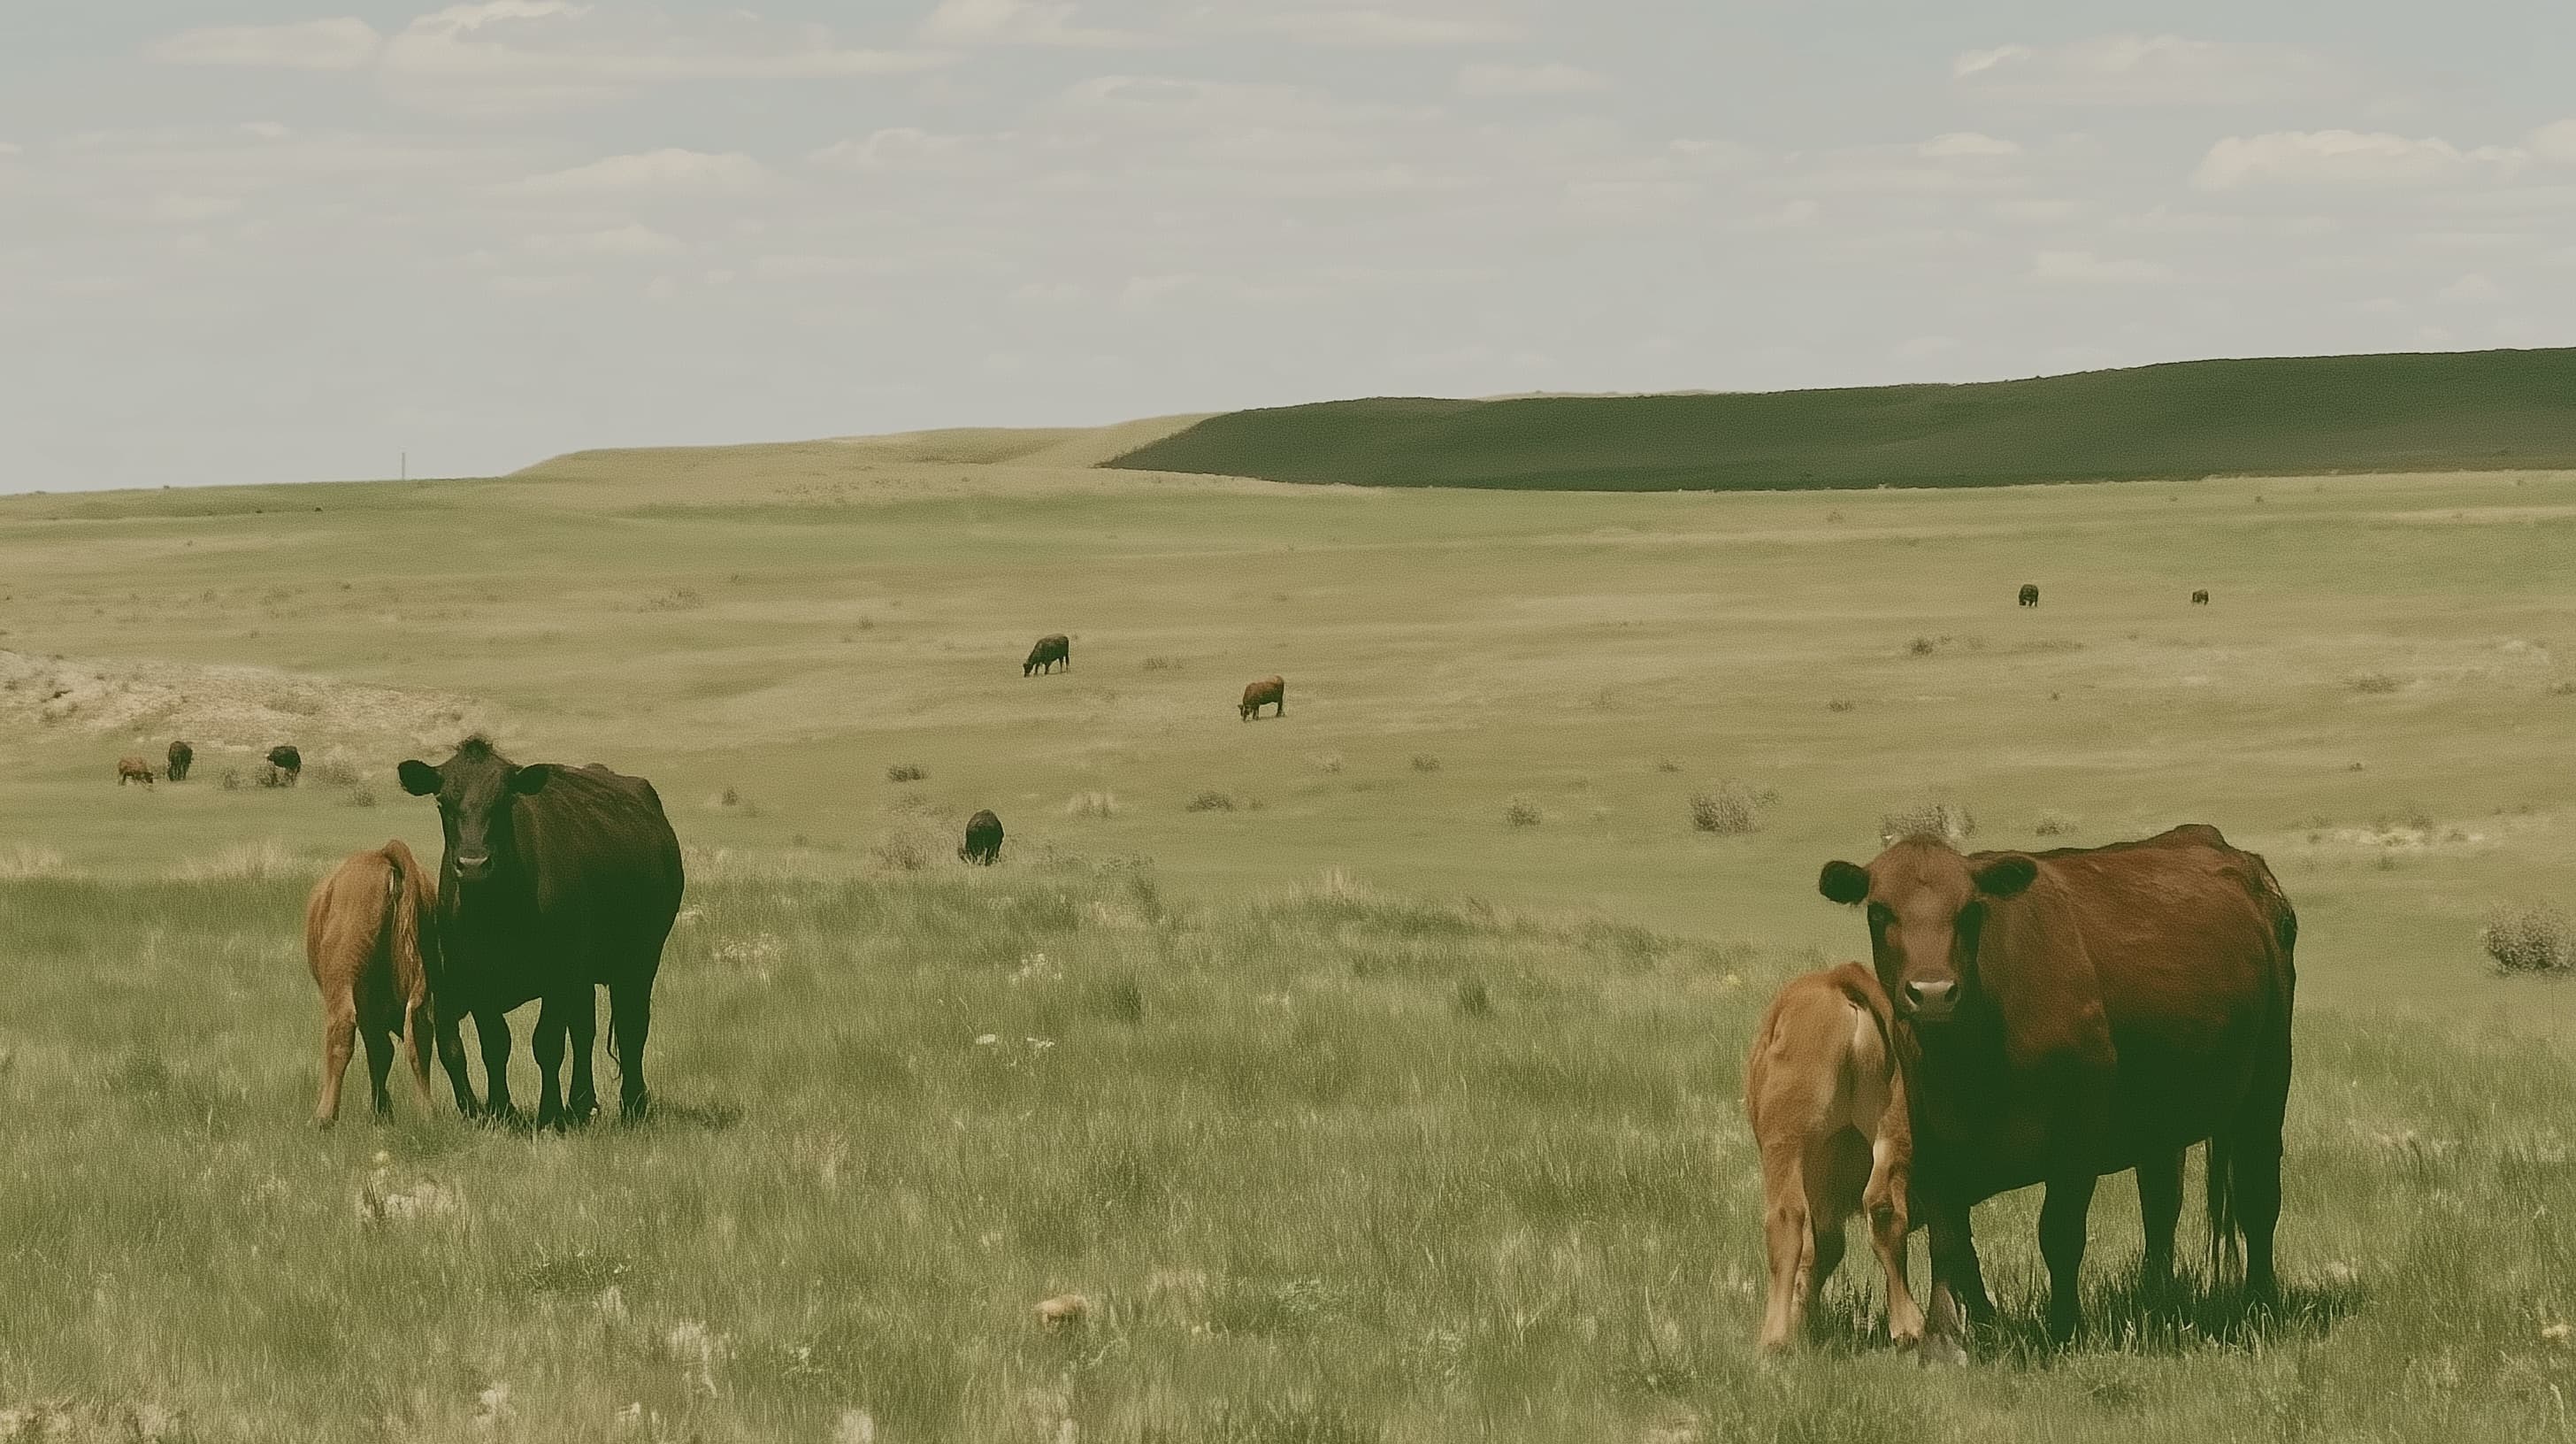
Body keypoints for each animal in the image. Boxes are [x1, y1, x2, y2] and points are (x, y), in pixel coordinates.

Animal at [305, 840, 465, 1125]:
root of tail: (384, 855)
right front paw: (382, 1111)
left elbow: (378, 1050)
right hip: (427, 982)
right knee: (426, 1036)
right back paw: (429, 1113)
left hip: (342, 977)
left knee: (341, 1031)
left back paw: (324, 1117)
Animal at [397, 737, 684, 1128]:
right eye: (443, 802)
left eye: (506, 801)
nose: (473, 863)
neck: (496, 915)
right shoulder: (477, 979)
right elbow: (496, 1044)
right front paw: (501, 1109)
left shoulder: (559, 974)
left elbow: (547, 1043)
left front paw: (550, 1113)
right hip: (585, 973)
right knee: (584, 1029)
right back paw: (581, 1103)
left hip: (640, 958)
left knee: (631, 1026)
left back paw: (633, 1104)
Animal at [1744, 962, 1924, 1354]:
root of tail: (1838, 981)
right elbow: (1827, 1248)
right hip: (1892, 1129)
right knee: (1884, 1210)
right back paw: (1909, 1326)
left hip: (1785, 1141)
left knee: (1785, 1218)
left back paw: (1774, 1338)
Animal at [1816, 824, 2295, 1359]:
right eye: (1879, 911)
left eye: (1971, 910)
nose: (1933, 992)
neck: (1974, 1061)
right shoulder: (1932, 1135)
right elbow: (1951, 1238)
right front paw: (1945, 1336)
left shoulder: (2078, 1129)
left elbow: (2060, 1233)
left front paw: (2064, 1326)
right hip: (2159, 1118)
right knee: (2160, 1203)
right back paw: (2155, 1296)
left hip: (2266, 1086)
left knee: (2257, 1195)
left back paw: (2260, 1301)